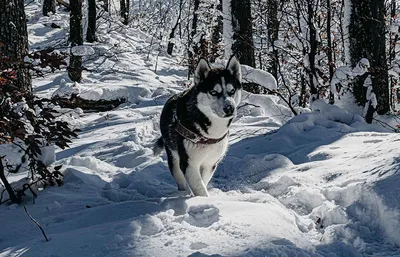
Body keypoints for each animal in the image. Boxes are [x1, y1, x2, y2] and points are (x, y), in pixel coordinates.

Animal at [152, 56, 241, 196]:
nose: (229, 108)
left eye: (232, 91)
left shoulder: (210, 163)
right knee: (180, 179)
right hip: (174, 158)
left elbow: (203, 181)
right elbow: (199, 188)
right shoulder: (189, 164)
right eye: (213, 92)